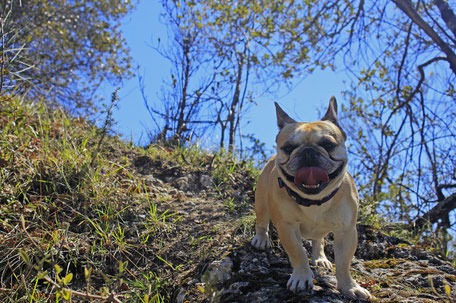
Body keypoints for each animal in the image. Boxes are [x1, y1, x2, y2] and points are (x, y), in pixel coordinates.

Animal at [251, 98, 372, 300]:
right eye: (289, 148)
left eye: (328, 144)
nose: (308, 152)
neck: (314, 200)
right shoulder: (287, 227)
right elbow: (298, 251)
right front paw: (301, 277)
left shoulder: (347, 231)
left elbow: (344, 263)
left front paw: (349, 286)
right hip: (261, 202)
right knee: (262, 222)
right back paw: (261, 239)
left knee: (318, 240)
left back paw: (320, 258)